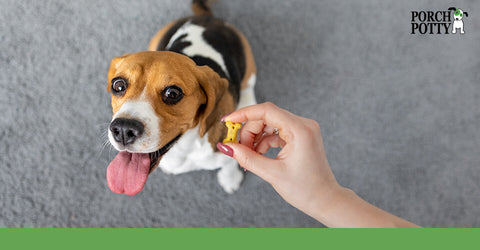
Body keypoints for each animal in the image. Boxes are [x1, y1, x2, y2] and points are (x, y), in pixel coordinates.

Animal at [105, 0, 255, 195]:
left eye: (172, 93)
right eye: (118, 85)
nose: (123, 129)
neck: (184, 147)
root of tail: (206, 17)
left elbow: (229, 163)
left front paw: (230, 179)